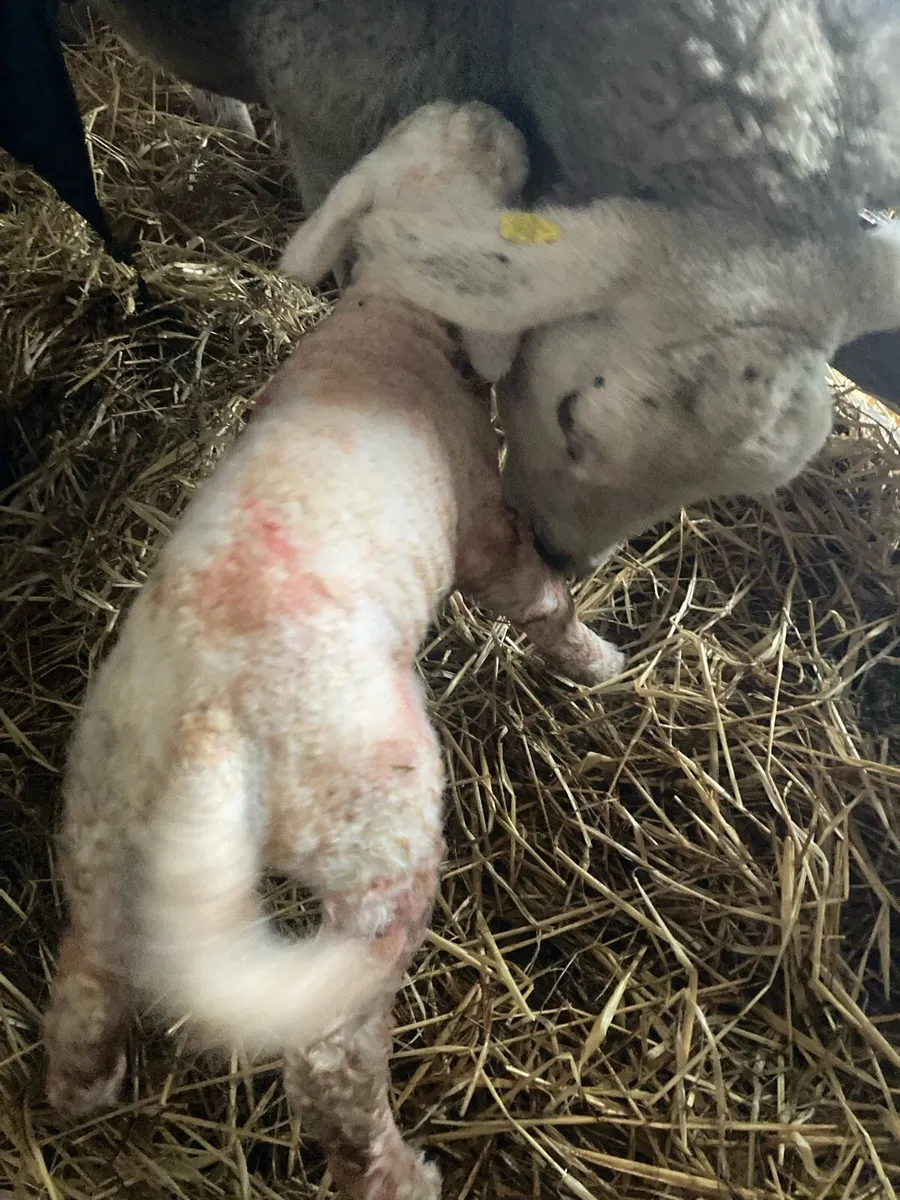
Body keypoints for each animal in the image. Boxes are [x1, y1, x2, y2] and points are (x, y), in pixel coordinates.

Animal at [42, 101, 624, 1200]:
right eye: (501, 171)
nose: (488, 108)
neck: (389, 312)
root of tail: (209, 728)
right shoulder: (485, 529)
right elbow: (536, 597)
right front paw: (596, 659)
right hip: (378, 835)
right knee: (331, 1055)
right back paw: (400, 1173)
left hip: (101, 814)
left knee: (89, 973)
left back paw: (88, 1081)